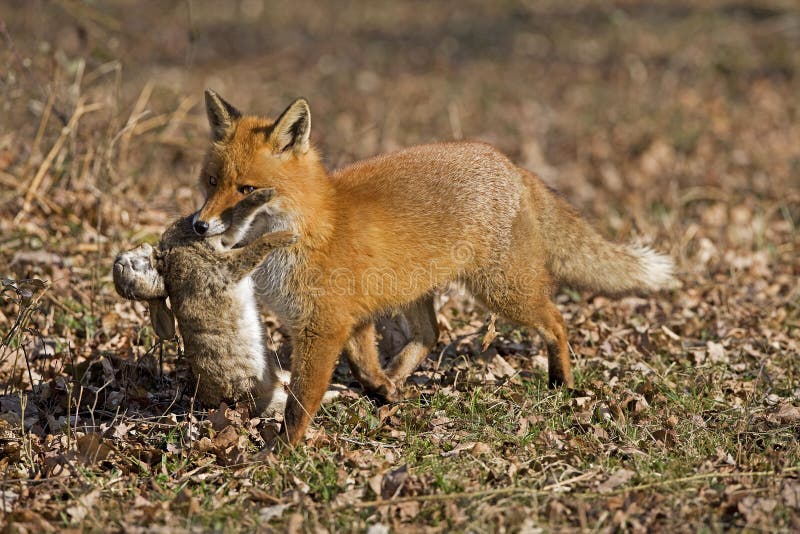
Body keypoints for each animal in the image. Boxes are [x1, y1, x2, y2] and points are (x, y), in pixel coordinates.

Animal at [191, 92, 672, 448]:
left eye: (248, 190)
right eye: (211, 182)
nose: (199, 225)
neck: (309, 228)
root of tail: (510, 164)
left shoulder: (323, 326)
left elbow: (300, 402)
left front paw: (282, 450)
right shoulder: (350, 317)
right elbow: (363, 365)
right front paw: (381, 389)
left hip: (502, 291)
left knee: (556, 320)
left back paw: (562, 381)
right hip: (414, 288)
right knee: (431, 333)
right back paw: (398, 380)